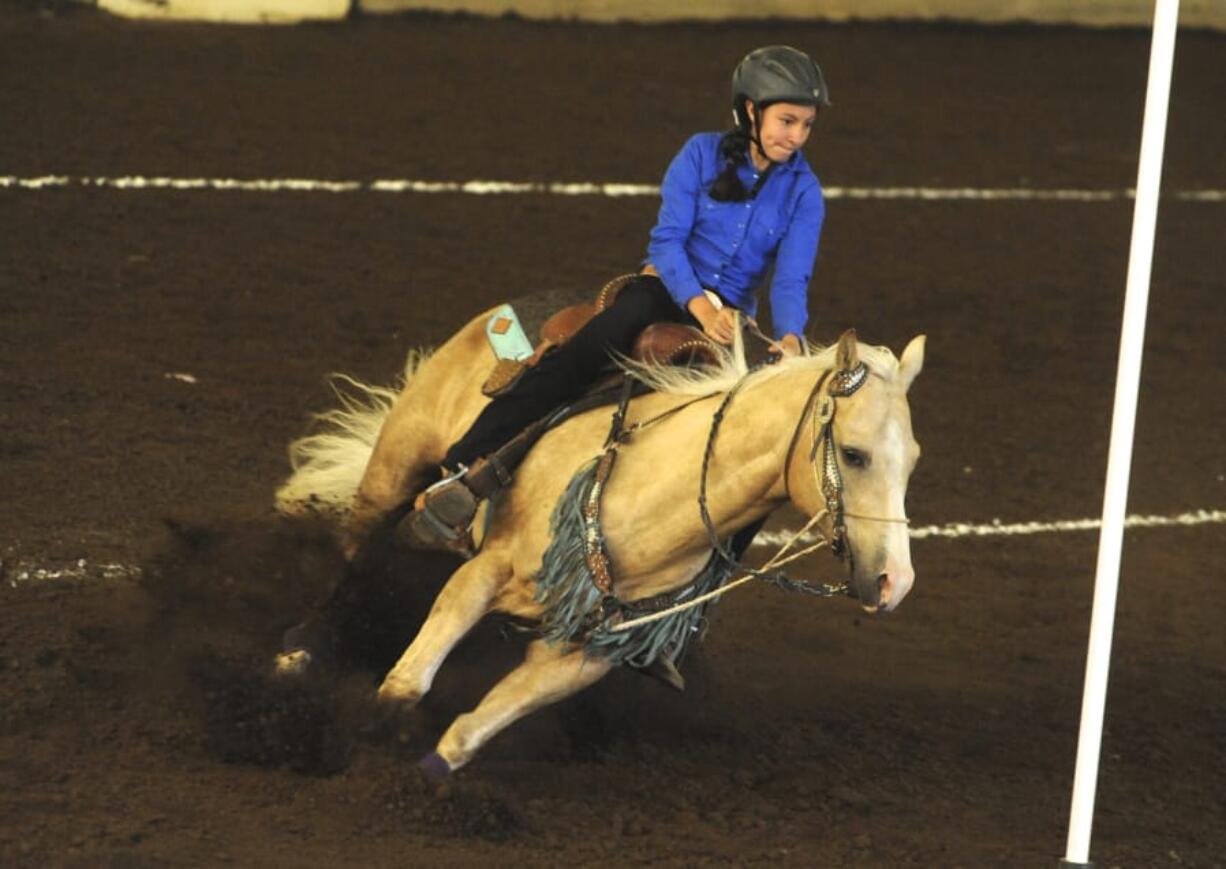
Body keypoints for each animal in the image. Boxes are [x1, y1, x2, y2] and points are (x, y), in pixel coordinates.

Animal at [278, 306, 921, 774]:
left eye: (913, 459)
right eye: (855, 454)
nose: (895, 583)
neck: (650, 497)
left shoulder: (583, 657)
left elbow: (464, 736)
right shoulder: (483, 572)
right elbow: (406, 686)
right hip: (396, 466)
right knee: (355, 559)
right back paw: (300, 650)